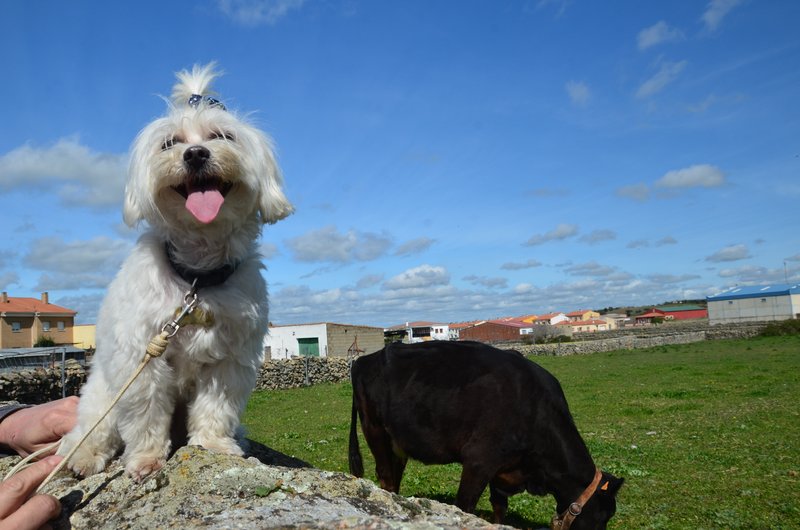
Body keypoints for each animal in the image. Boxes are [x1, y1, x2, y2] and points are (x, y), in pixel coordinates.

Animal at [59, 63, 292, 478]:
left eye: (222, 136)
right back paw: (83, 456)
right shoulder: (144, 359)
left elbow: (216, 406)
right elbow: (146, 414)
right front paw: (146, 459)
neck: (197, 276)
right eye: (170, 143)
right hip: (102, 397)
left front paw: (214, 445)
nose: (196, 154)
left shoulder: (228, 359)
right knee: (91, 431)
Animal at [350, 340, 624, 524]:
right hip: (374, 430)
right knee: (386, 477)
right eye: (603, 515)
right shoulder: (479, 461)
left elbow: (500, 508)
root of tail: (366, 359)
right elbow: (465, 506)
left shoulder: (503, 469)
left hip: (398, 443)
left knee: (394, 479)